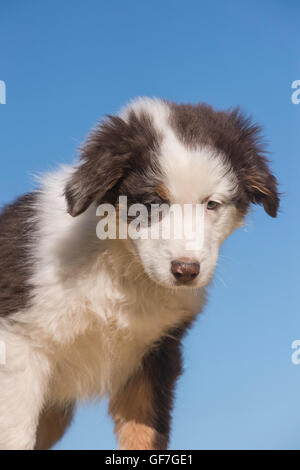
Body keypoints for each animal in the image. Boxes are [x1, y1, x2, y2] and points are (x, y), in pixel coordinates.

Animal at [0, 97, 278, 450]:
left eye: (211, 204)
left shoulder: (154, 354)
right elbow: (15, 435)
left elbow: (144, 432)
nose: (186, 271)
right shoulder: (20, 347)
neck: (122, 268)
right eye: (152, 201)